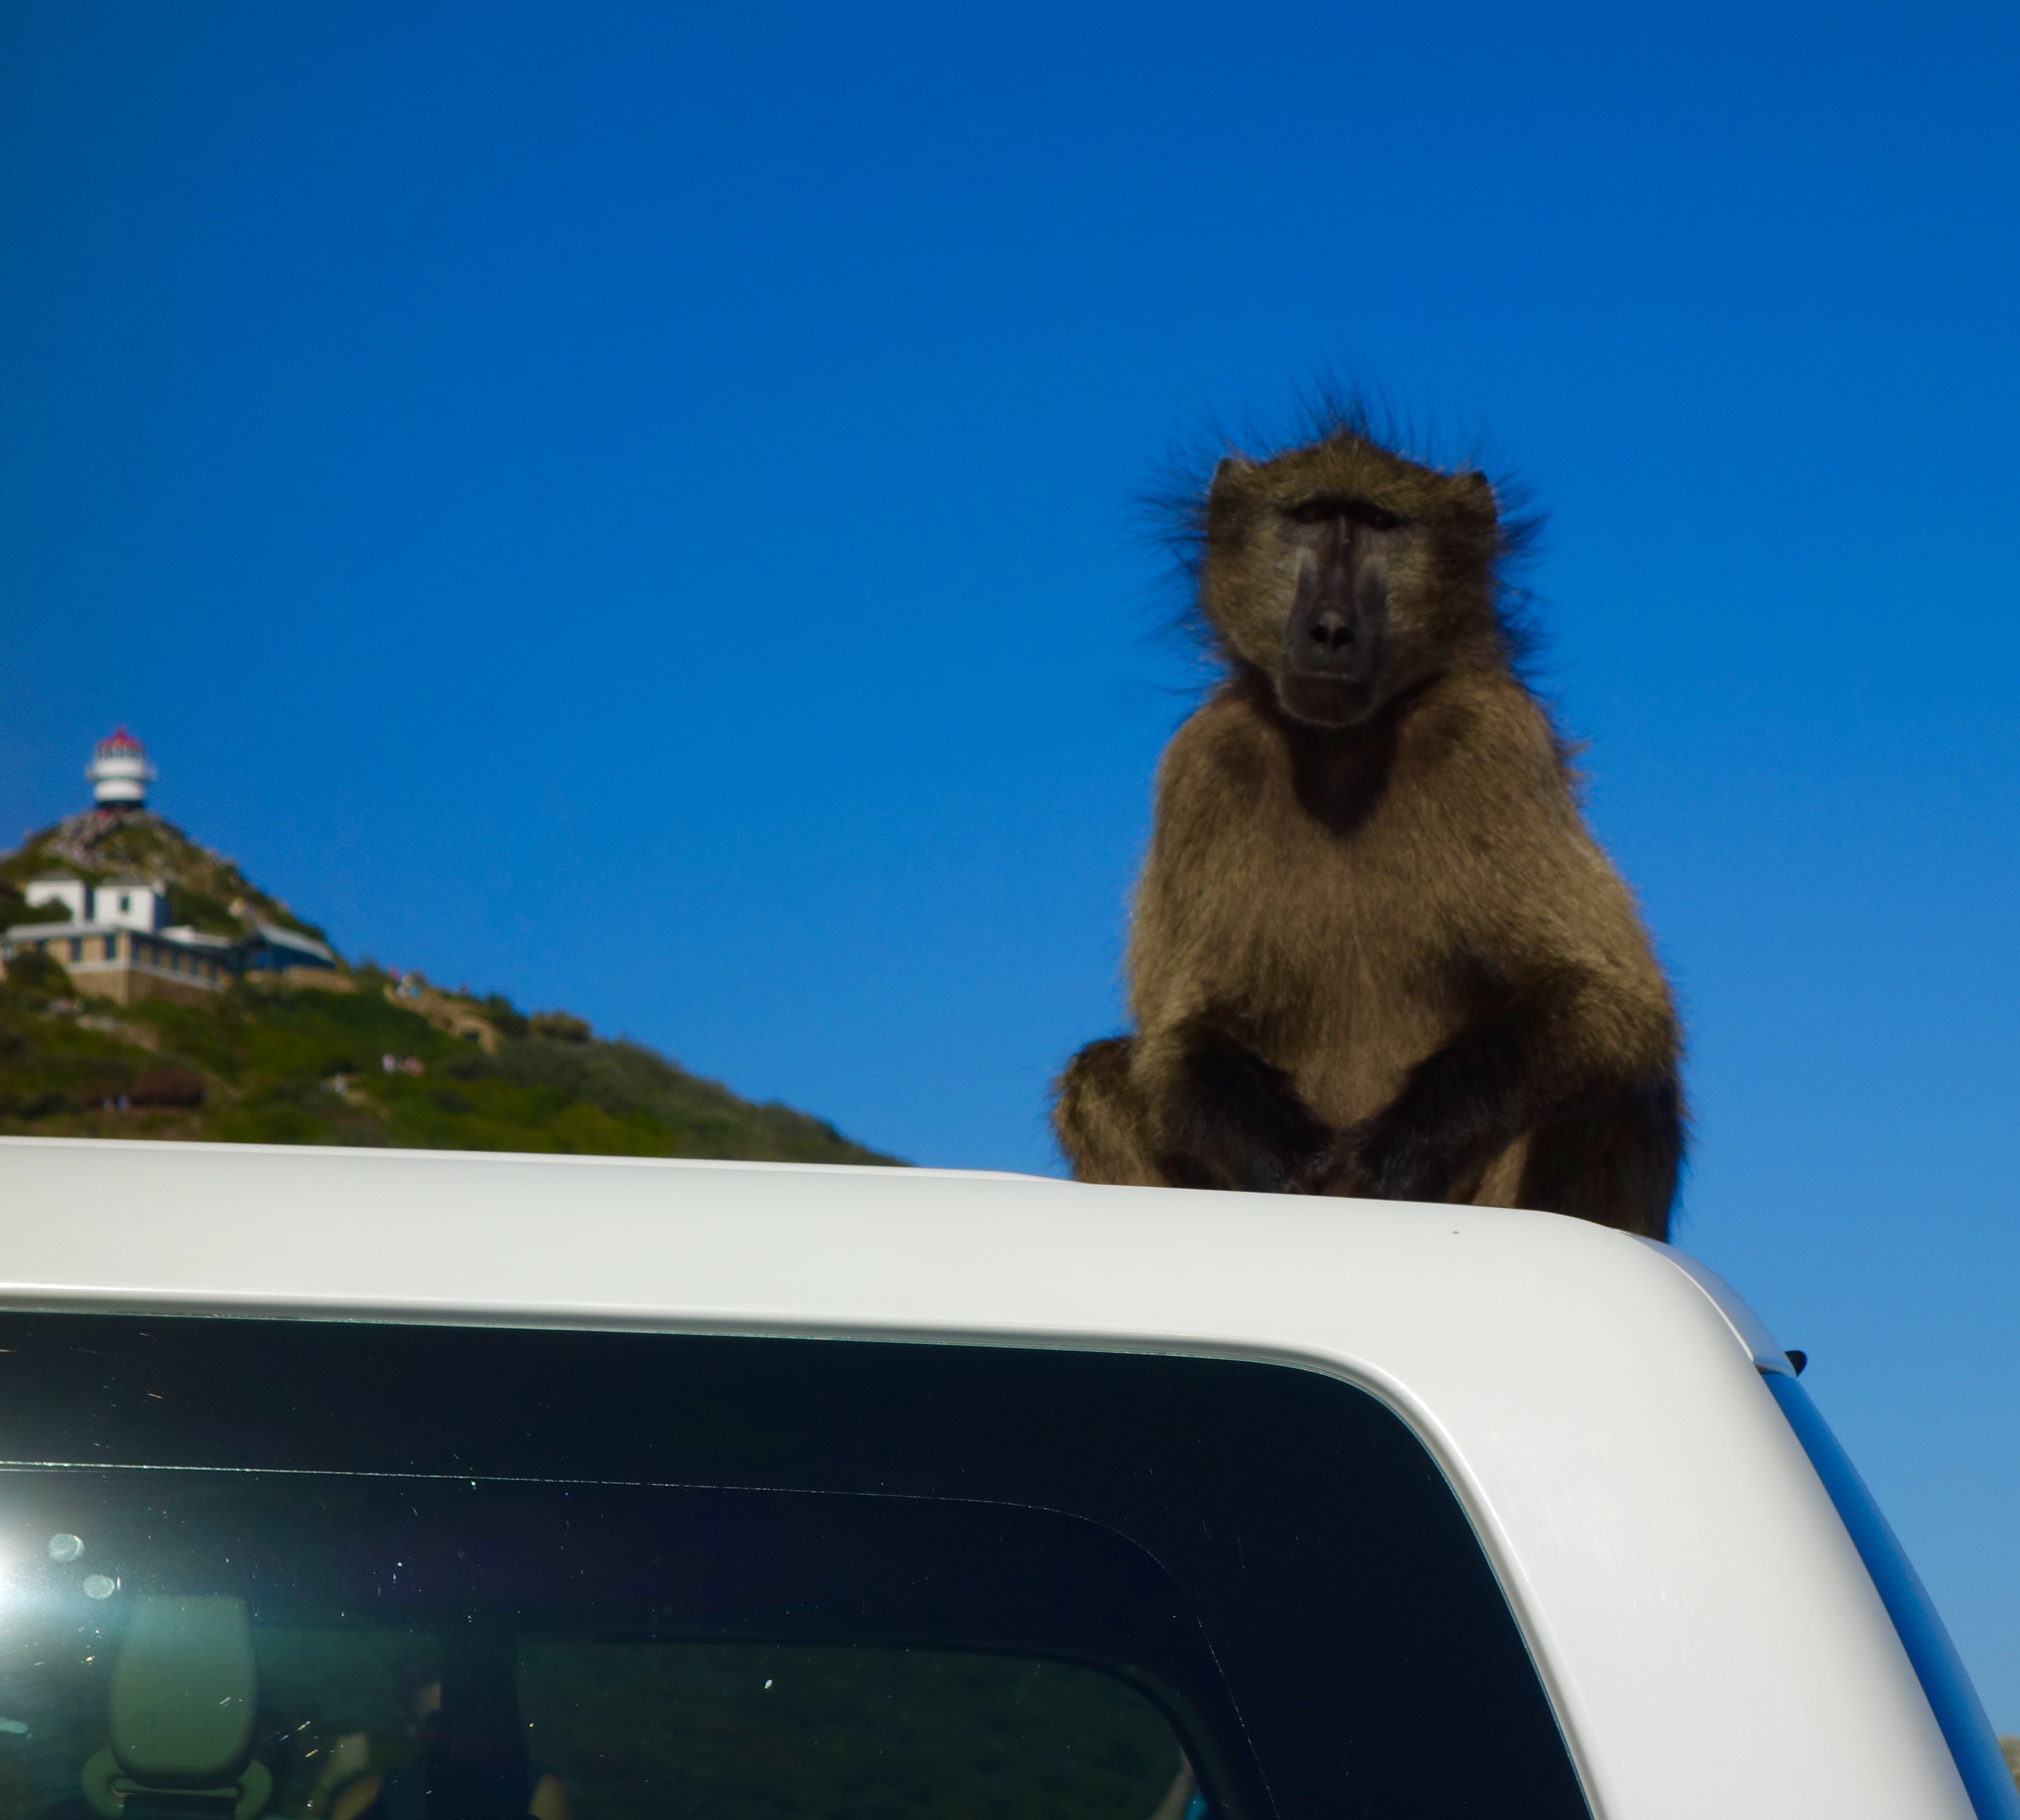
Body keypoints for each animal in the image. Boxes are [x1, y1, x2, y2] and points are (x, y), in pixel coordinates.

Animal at [1053, 415, 1683, 1238]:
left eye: (1380, 526)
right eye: (1310, 519)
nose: (1329, 630)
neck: (1342, 746)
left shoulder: (1489, 738)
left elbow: (1610, 1001)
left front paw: (1386, 1166)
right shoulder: (1202, 767)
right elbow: (1178, 1040)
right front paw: (1299, 1176)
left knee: (1607, 1077)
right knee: (1097, 1075)